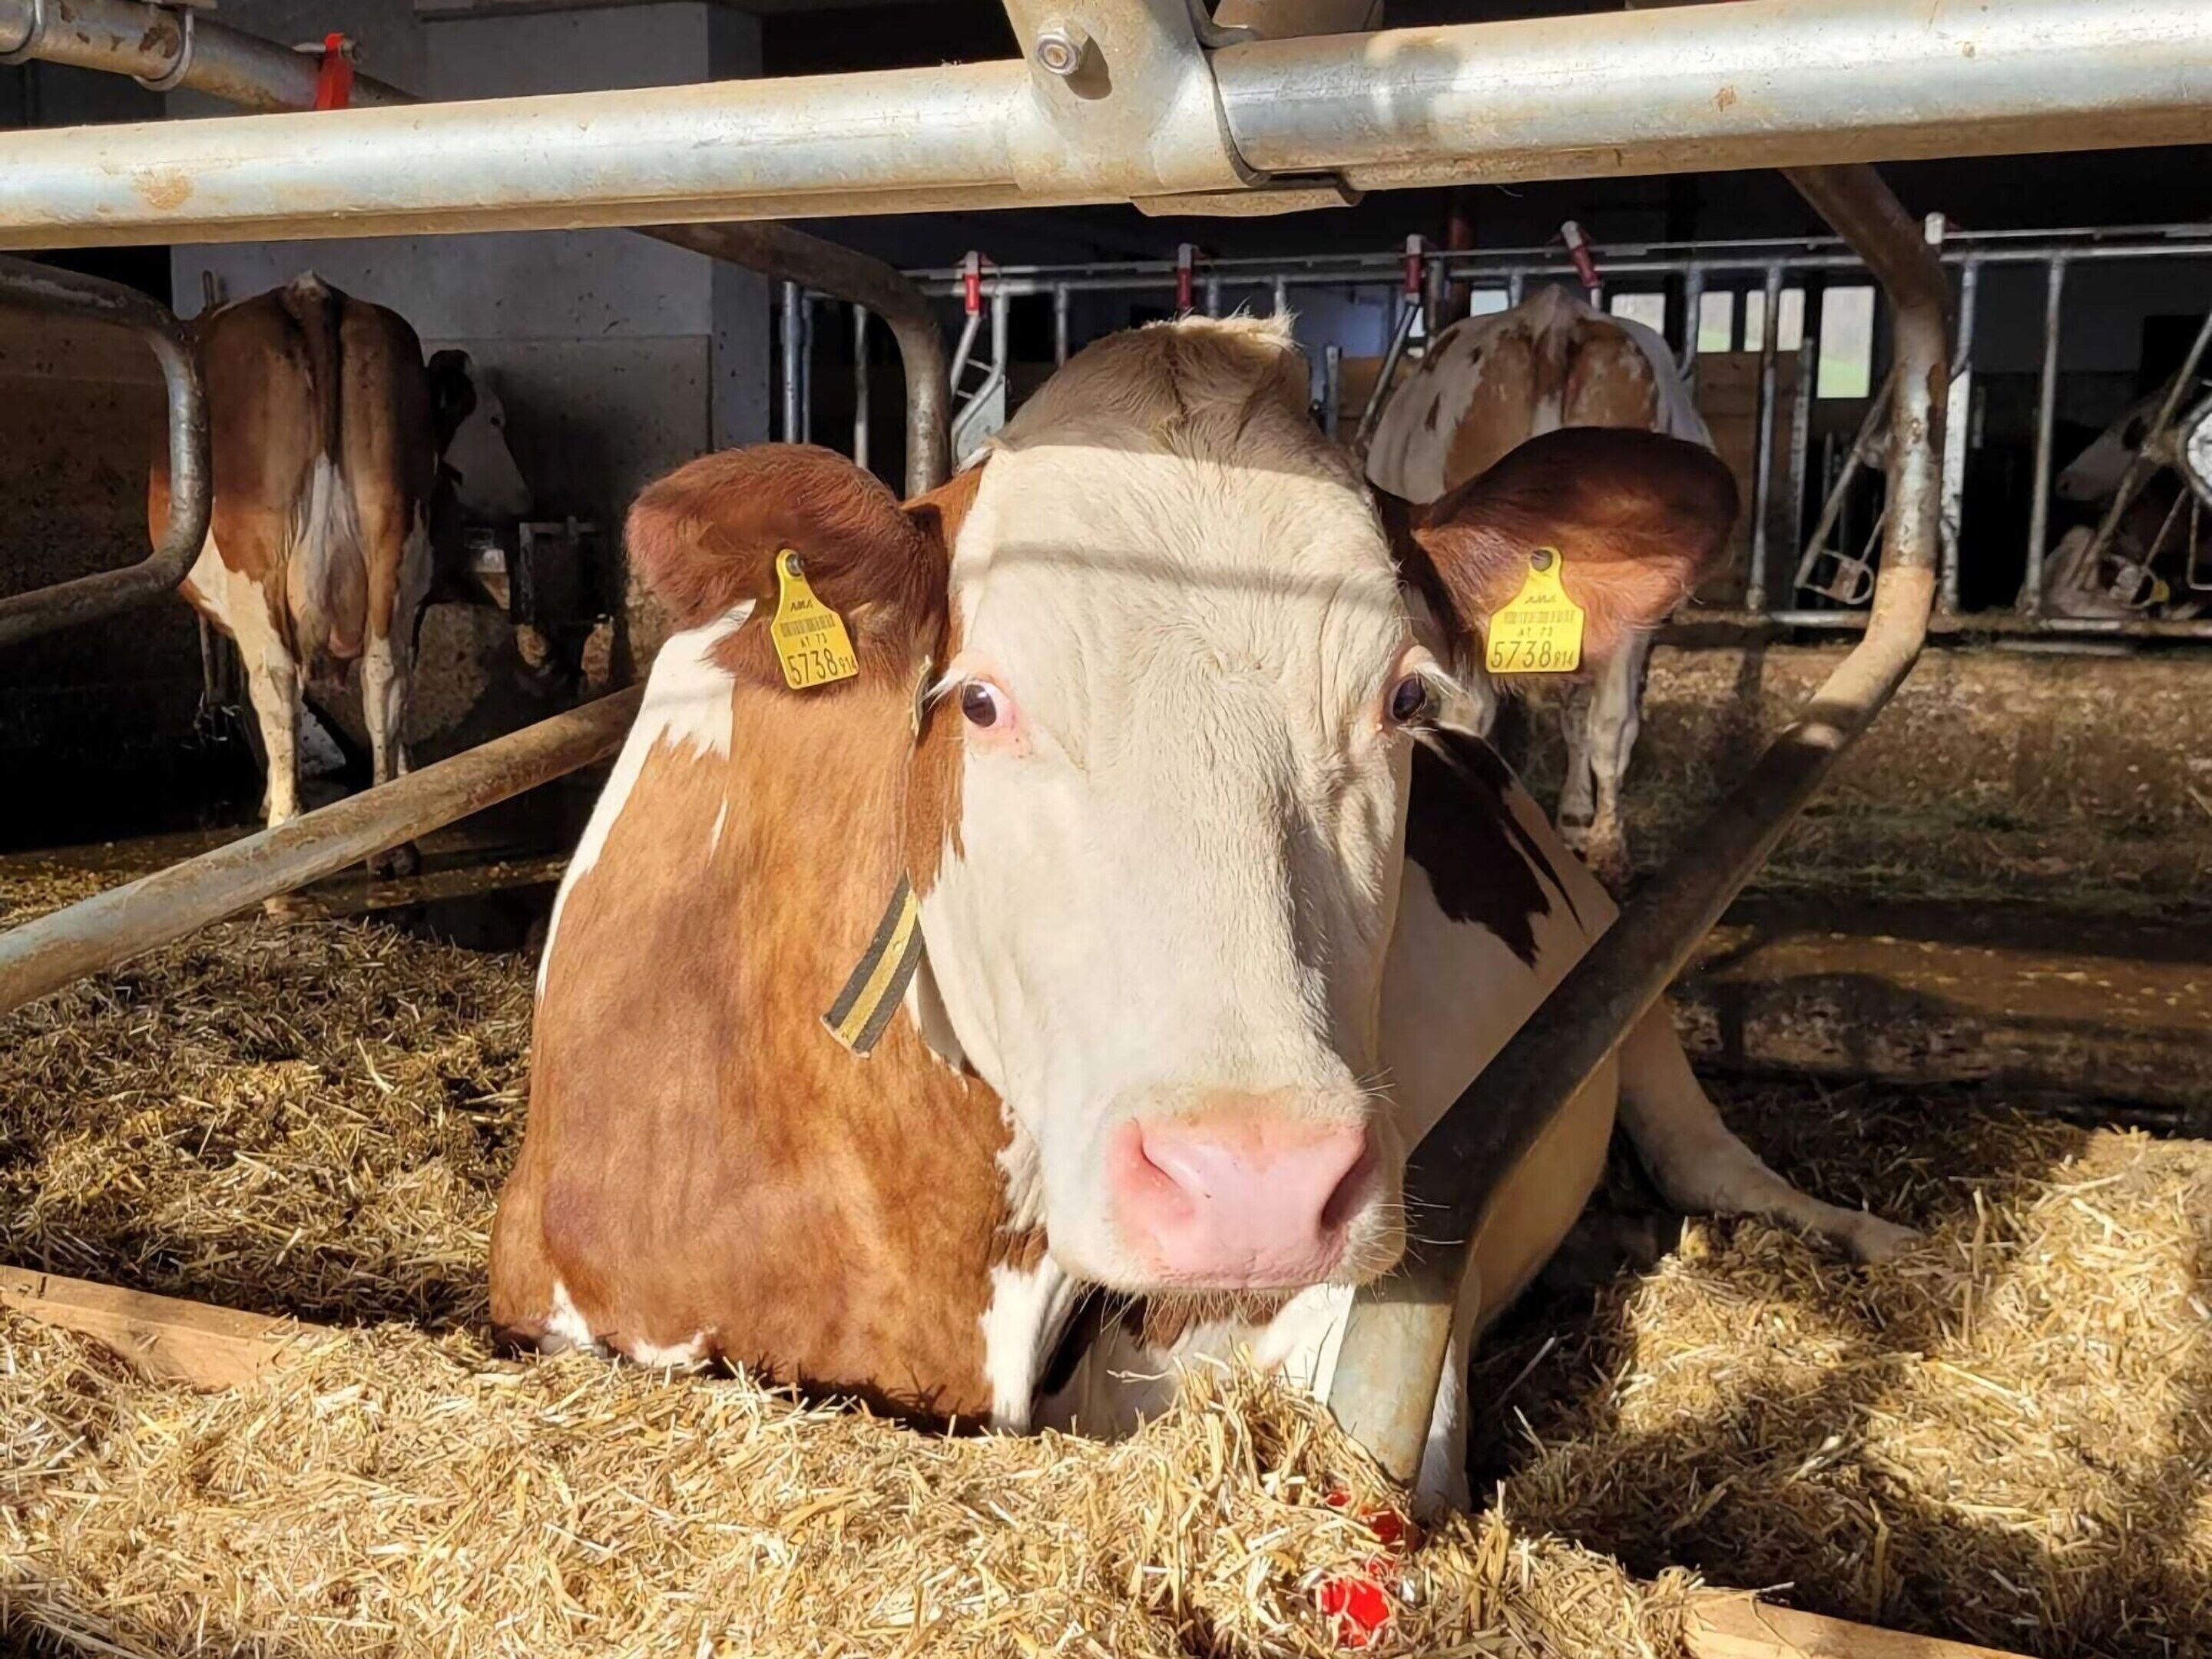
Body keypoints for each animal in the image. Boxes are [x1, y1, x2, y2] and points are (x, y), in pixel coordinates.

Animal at [149, 275, 532, 857]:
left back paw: (284, 824)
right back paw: (391, 835)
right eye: (492, 418)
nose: (525, 498)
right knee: (384, 673)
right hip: (391, 540)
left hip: (257, 567)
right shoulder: (415, 597)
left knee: (278, 681)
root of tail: (310, 292)